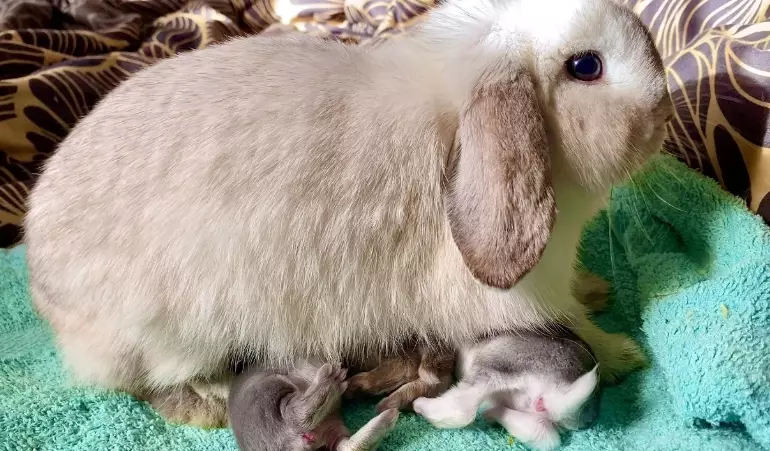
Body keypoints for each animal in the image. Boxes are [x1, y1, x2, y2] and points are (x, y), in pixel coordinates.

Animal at [24, 0, 673, 428]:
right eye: (586, 67)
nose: (666, 110)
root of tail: (44, 292)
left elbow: (578, 300)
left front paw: (596, 289)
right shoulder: (524, 298)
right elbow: (578, 329)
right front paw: (624, 353)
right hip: (175, 335)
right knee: (150, 383)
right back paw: (210, 403)